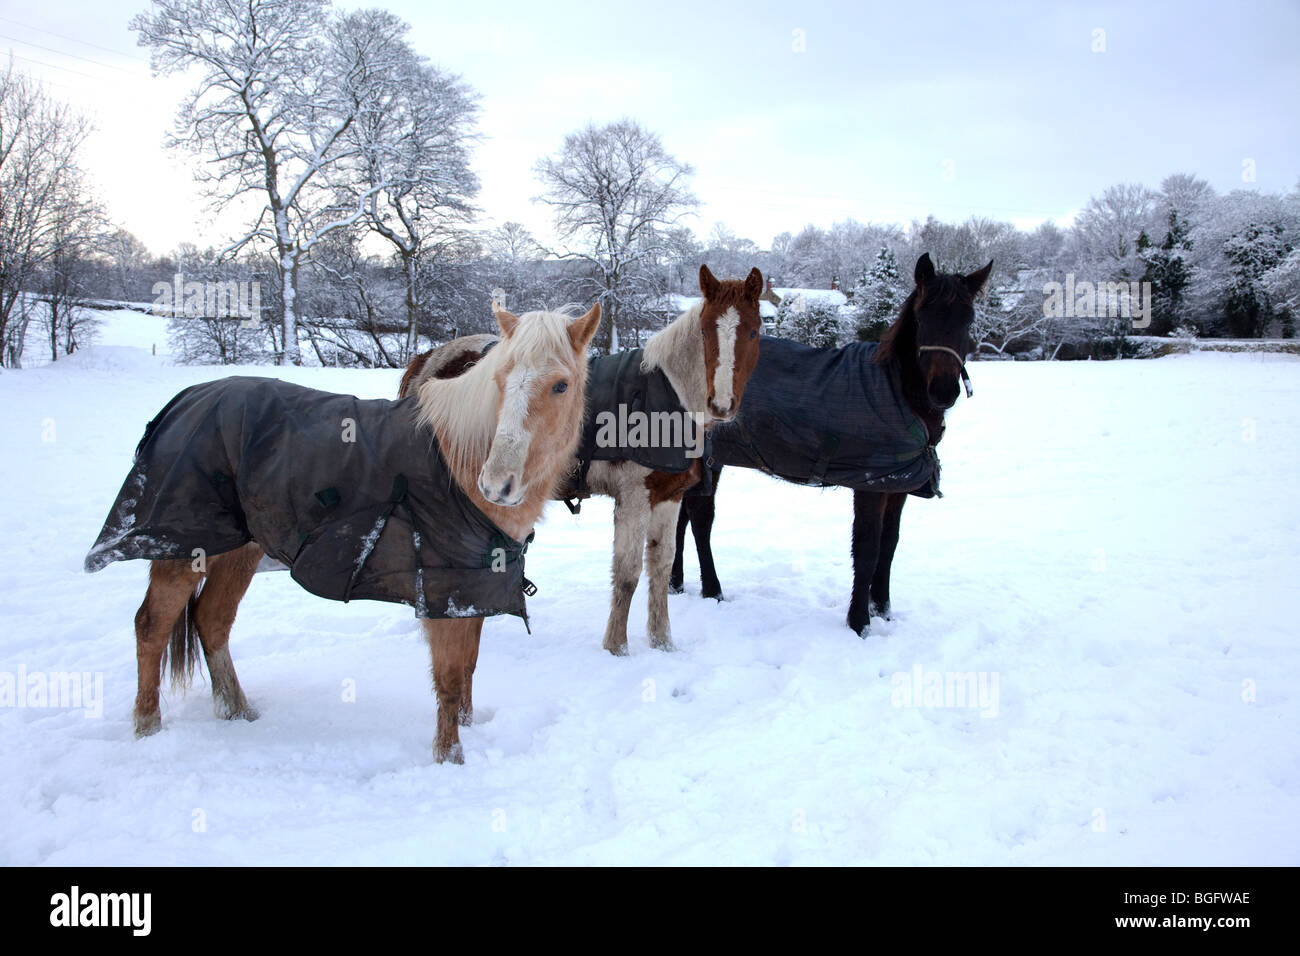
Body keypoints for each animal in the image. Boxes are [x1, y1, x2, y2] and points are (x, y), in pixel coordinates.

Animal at [88, 305, 601, 764]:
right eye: (500, 379)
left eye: (561, 384)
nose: (497, 484)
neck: (456, 462)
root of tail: (185, 400)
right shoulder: (441, 591)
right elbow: (451, 681)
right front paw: (450, 759)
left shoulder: (469, 590)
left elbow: (469, 667)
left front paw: (469, 733)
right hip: (183, 549)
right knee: (152, 627)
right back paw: (148, 728)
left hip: (239, 550)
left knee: (211, 621)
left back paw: (239, 713)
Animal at [400, 265, 764, 656]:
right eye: (704, 330)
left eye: (753, 330)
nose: (722, 404)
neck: (667, 395)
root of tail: (426, 361)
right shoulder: (634, 497)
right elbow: (628, 573)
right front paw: (616, 648)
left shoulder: (668, 497)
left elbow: (661, 566)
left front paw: (662, 642)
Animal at [670, 253, 992, 635]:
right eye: (922, 317)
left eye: (968, 319)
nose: (943, 391)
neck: (894, 390)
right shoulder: (869, 483)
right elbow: (867, 549)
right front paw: (860, 622)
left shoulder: (897, 484)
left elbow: (890, 545)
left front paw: (883, 609)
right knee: (700, 518)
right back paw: (712, 589)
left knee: (683, 517)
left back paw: (676, 582)